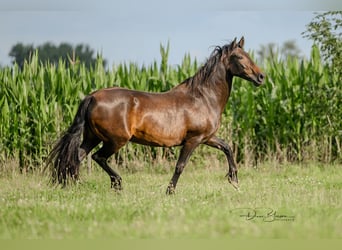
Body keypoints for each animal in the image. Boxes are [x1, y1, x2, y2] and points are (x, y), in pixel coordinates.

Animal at [46, 36, 264, 193]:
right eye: (239, 57)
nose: (261, 77)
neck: (203, 97)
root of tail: (92, 96)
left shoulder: (207, 137)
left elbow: (227, 147)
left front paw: (233, 179)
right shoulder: (193, 140)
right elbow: (180, 166)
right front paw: (170, 191)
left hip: (92, 137)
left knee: (77, 157)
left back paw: (72, 185)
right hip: (116, 140)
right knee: (98, 157)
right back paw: (117, 184)